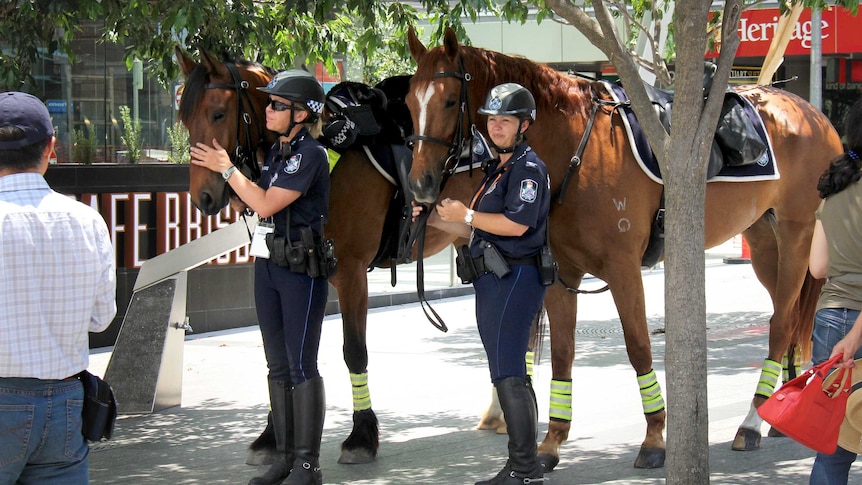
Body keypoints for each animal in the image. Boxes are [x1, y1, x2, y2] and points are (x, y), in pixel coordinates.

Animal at [170, 47, 480, 464]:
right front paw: (271, 435)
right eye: (185, 118)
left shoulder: (351, 275)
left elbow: (354, 352)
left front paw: (362, 434)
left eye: (218, 113)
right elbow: (286, 353)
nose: (202, 197)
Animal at [406, 26, 844, 468]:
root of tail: (815, 116)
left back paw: (752, 423)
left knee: (783, 322)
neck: (574, 150)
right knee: (789, 316)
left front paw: (654, 439)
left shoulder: (623, 269)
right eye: (409, 102)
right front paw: (551, 442)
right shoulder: (561, 274)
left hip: (795, 233)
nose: (421, 186)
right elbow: (563, 352)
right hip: (763, 241)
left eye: (449, 100)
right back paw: (778, 408)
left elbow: (639, 347)